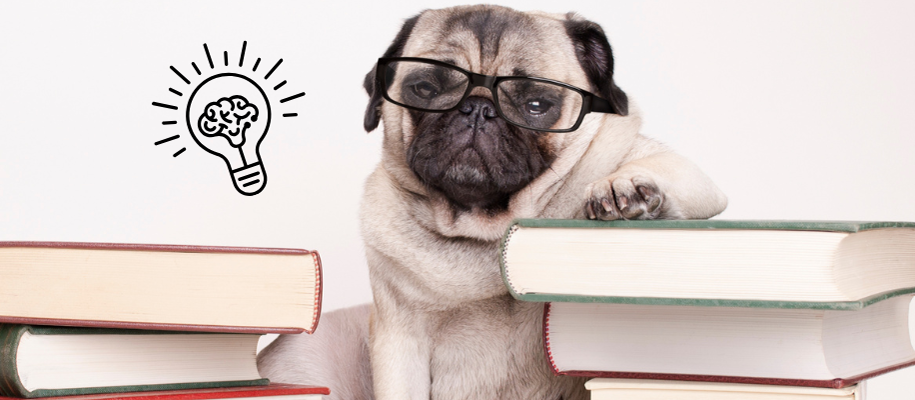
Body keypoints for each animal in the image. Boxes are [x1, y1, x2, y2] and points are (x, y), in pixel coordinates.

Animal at [260, 3, 728, 400]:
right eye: (424, 88)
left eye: (536, 104)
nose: (477, 109)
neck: (483, 226)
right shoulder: (399, 342)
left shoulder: (685, 175)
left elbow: (661, 170)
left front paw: (621, 187)